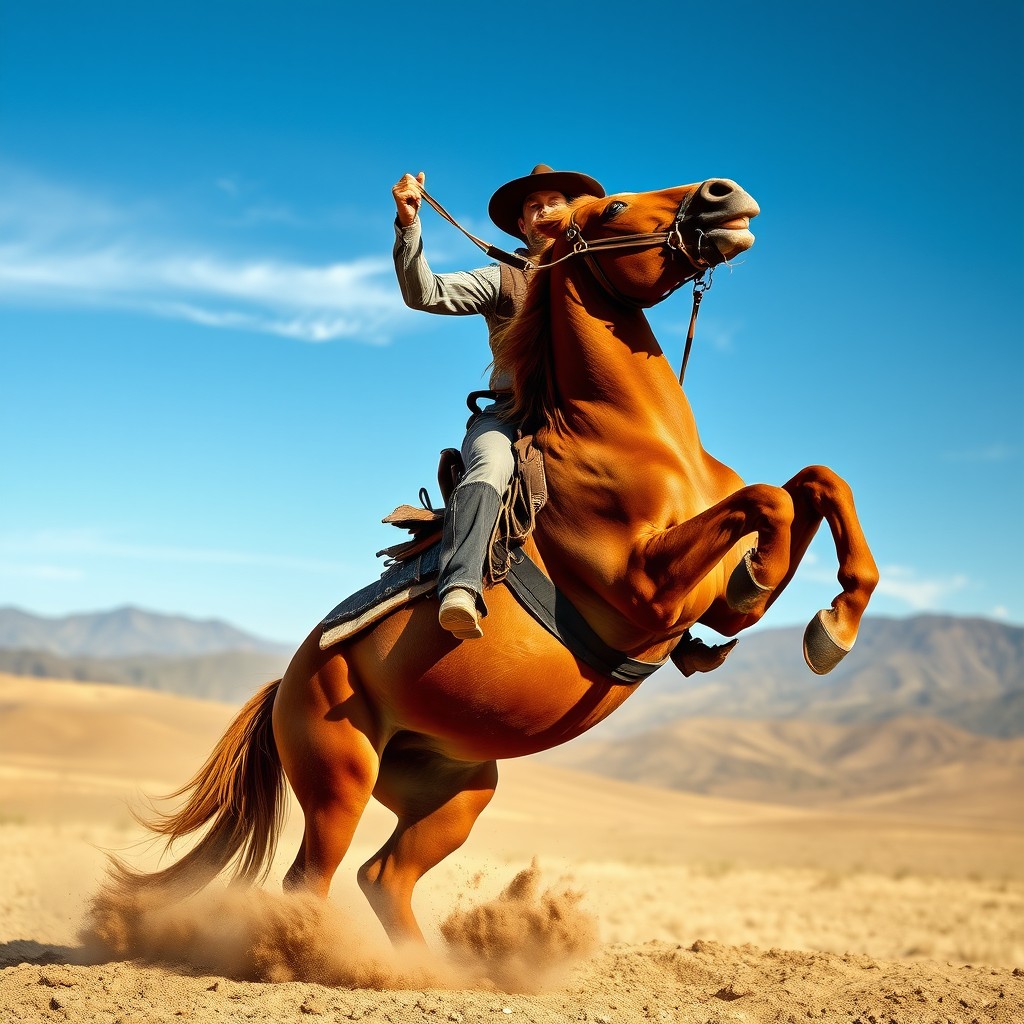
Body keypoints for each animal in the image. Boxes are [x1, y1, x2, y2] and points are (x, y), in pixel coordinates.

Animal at [118, 175, 877, 947]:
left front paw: (833, 626)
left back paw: (424, 967)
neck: (646, 443)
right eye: (614, 207)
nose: (725, 195)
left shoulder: (707, 601)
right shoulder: (648, 591)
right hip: (341, 780)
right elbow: (768, 503)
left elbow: (818, 483)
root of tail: (287, 682)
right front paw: (776, 587)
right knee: (309, 882)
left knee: (383, 876)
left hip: (459, 790)